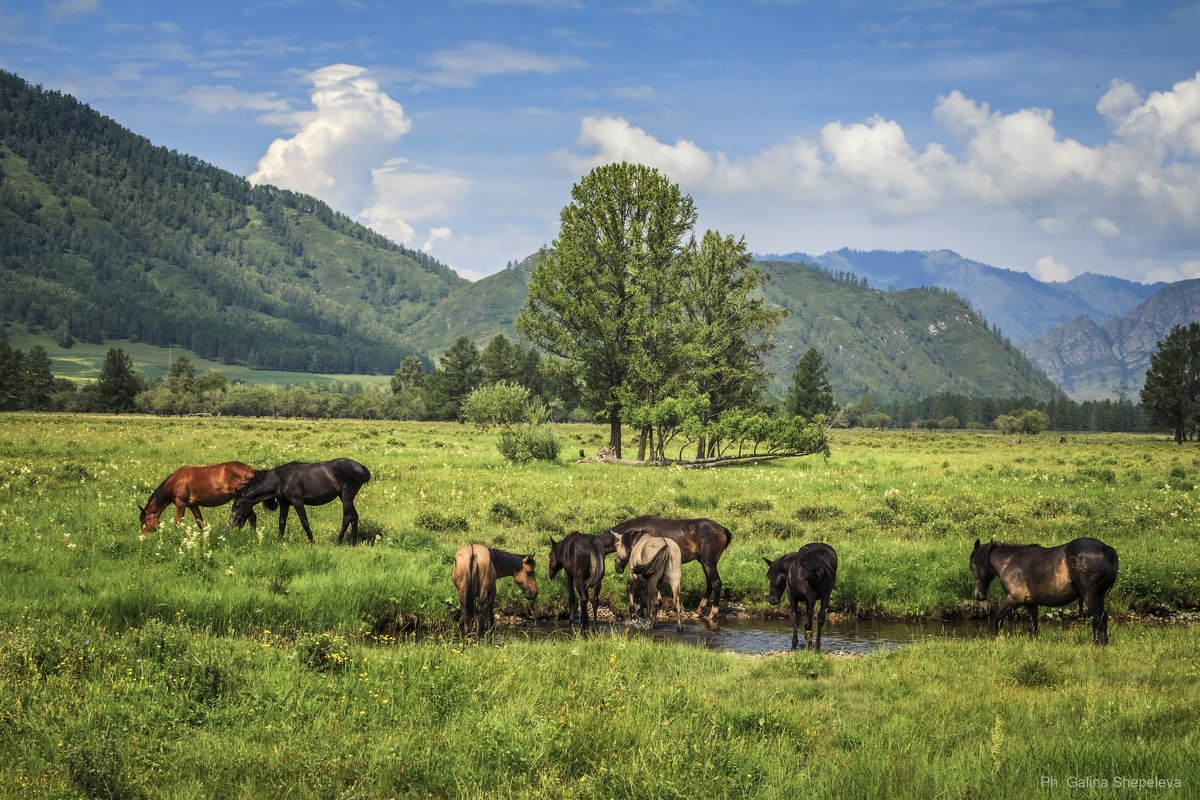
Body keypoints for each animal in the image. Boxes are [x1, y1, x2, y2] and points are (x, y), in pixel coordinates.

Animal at [230, 455, 369, 544]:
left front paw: (312, 541)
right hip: (345, 497)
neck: (281, 480)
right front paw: (279, 540)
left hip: (346, 496)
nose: (232, 526)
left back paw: (338, 541)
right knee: (354, 517)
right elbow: (282, 522)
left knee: (347, 518)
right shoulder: (284, 503)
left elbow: (304, 522)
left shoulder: (298, 502)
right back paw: (353, 542)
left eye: (237, 506)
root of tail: (361, 467)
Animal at [969, 537, 1118, 642]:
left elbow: (998, 618)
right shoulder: (1031, 603)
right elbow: (1032, 627)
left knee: (1099, 620)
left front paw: (998, 639)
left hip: (1091, 596)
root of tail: (1105, 549)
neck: (1010, 561)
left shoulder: (1015, 599)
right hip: (1099, 596)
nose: (979, 595)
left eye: (972, 566)